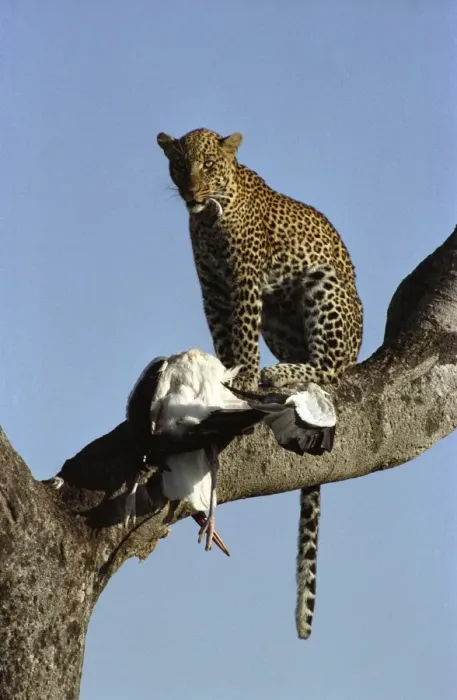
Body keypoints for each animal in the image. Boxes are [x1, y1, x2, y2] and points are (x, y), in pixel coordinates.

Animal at [157, 127, 363, 640]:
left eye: (209, 166)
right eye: (180, 165)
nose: (191, 191)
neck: (211, 219)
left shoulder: (246, 279)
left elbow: (243, 335)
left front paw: (247, 375)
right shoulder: (212, 287)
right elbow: (224, 335)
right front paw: (227, 372)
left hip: (321, 290)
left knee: (331, 367)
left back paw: (278, 372)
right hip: (281, 316)